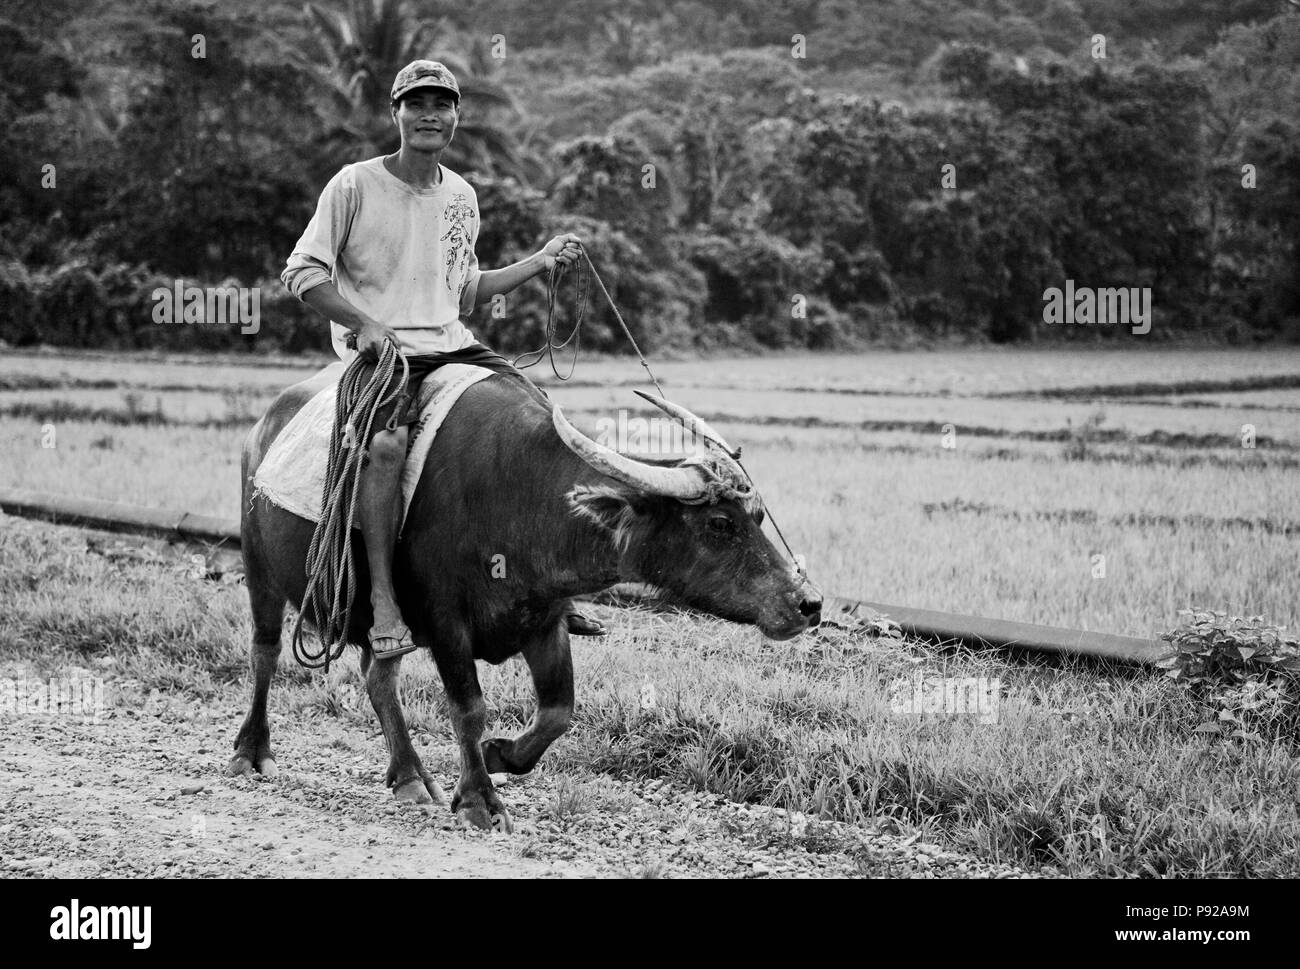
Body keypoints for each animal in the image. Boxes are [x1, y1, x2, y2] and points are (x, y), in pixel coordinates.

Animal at [231, 366, 821, 827]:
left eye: (758, 516)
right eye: (720, 523)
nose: (808, 604)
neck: (520, 494)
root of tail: (262, 429)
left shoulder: (544, 621)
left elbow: (559, 710)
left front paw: (498, 755)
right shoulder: (447, 622)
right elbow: (468, 708)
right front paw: (479, 800)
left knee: (379, 676)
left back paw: (411, 776)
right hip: (259, 567)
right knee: (265, 651)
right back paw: (252, 751)